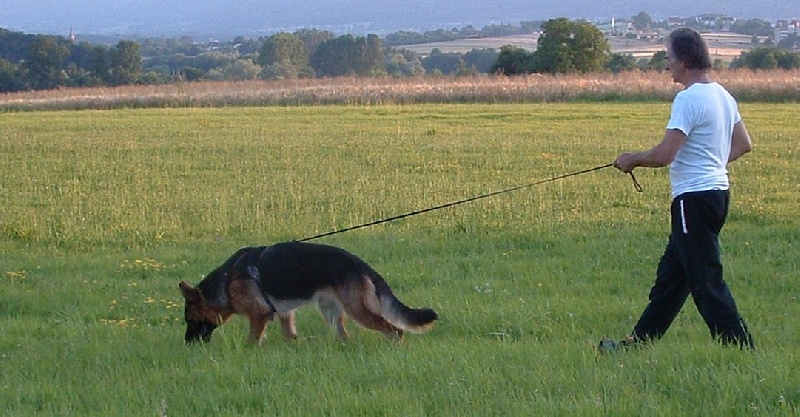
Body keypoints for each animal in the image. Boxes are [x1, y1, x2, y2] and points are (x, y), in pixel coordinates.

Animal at [178, 240, 438, 344]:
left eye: (191, 320)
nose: (188, 343)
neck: (228, 279)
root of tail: (360, 264)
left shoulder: (258, 315)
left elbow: (252, 340)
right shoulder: (284, 313)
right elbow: (289, 335)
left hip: (358, 311)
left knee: (395, 331)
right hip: (330, 311)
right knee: (344, 335)